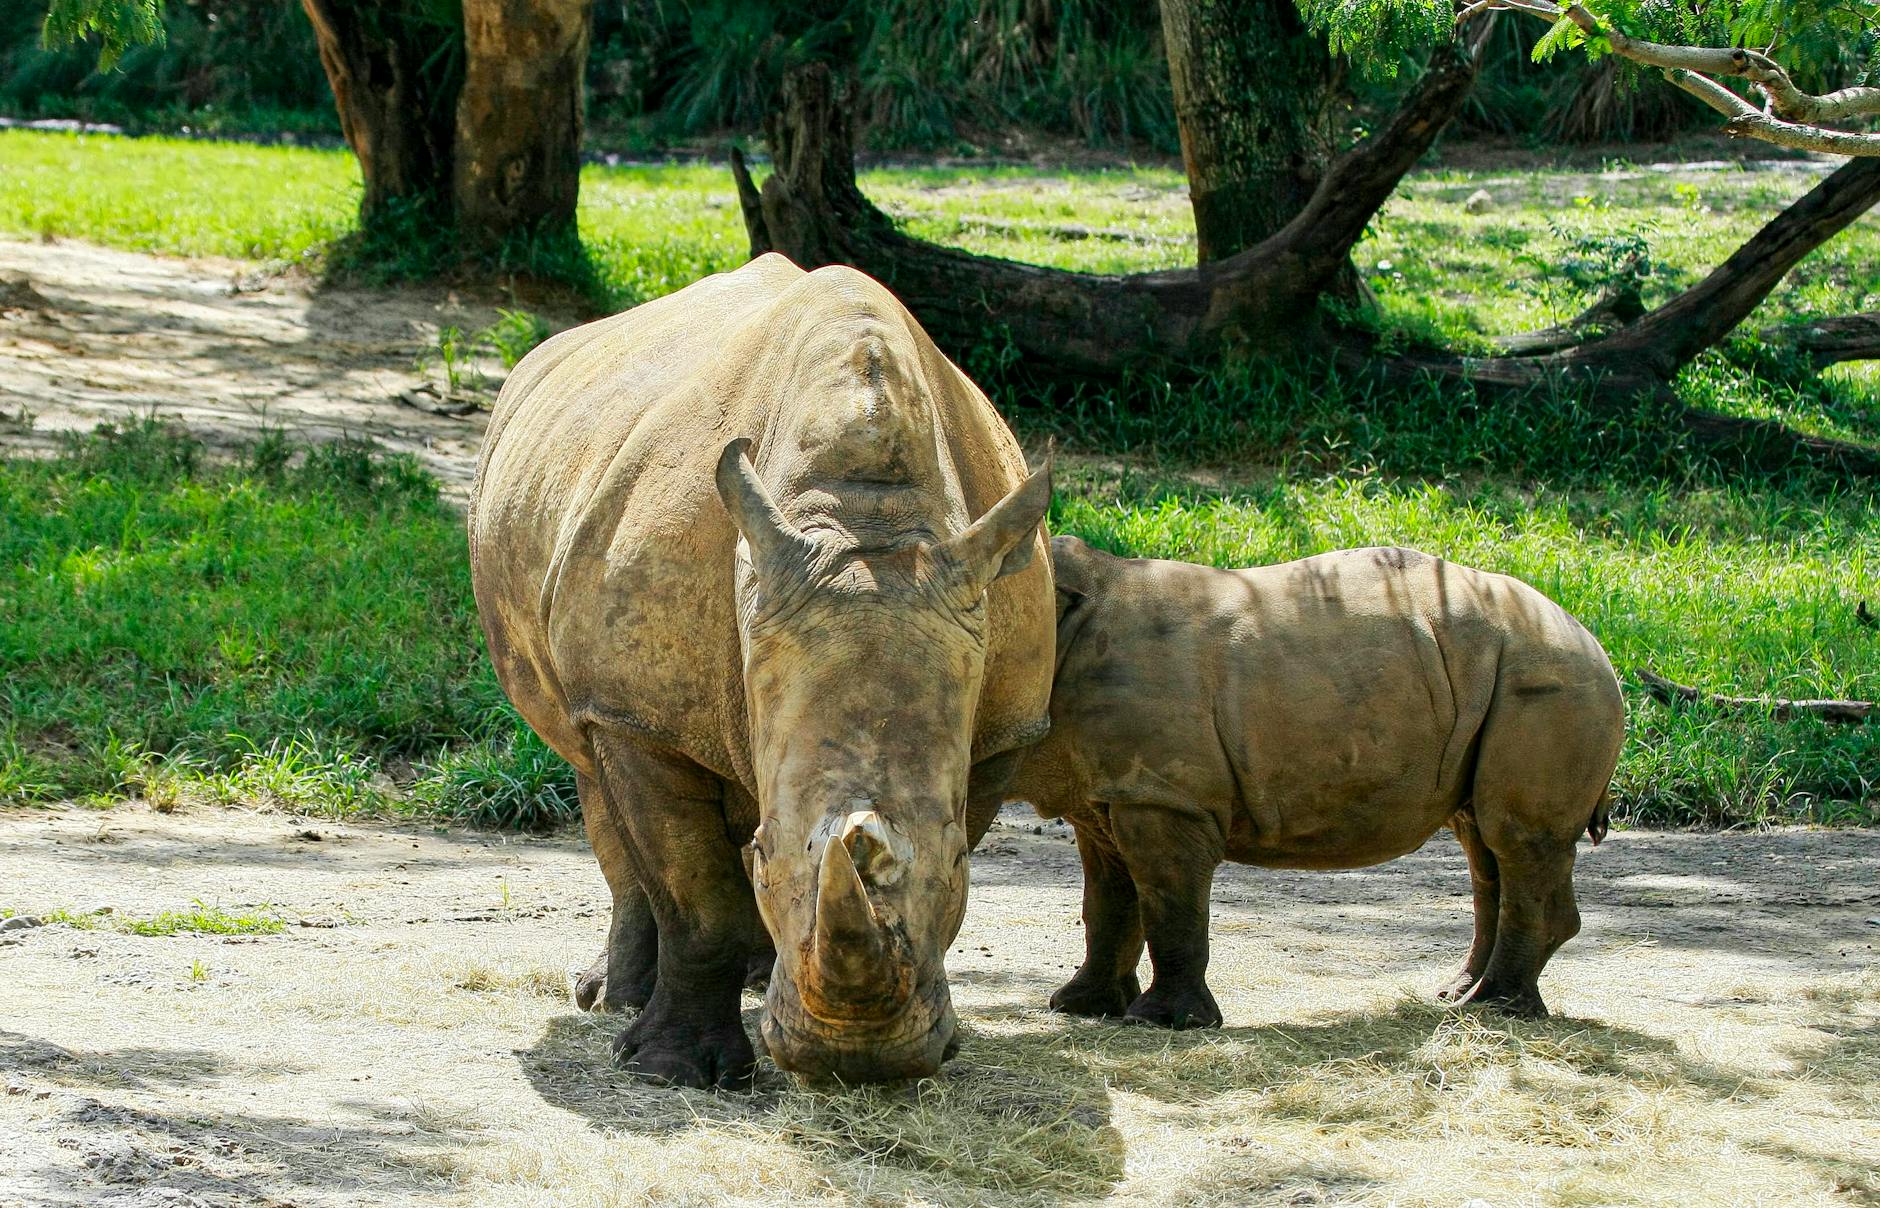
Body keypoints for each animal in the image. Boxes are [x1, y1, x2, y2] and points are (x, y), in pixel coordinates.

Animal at [470, 255, 1060, 1089]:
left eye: (957, 865)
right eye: (765, 857)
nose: (856, 1064)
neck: (866, 517)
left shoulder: (1004, 726)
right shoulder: (640, 712)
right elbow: (695, 896)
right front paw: (672, 1070)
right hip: (597, 662)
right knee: (592, 775)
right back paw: (613, 1001)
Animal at [1015, 537, 1631, 1029]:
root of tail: (1595, 641)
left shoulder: (1164, 796)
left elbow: (1168, 900)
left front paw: (1162, 1024)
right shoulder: (1112, 789)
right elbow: (1108, 901)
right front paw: (1078, 1007)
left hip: (1552, 674)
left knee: (1515, 840)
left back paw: (1493, 1009)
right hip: (1506, 674)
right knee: (1482, 840)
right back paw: (1457, 996)